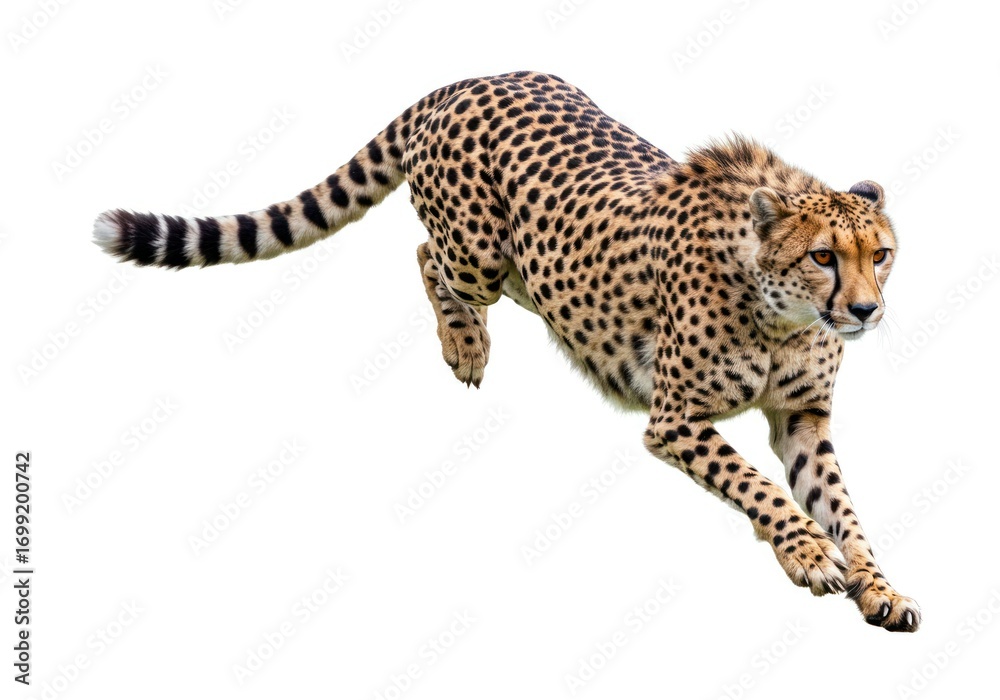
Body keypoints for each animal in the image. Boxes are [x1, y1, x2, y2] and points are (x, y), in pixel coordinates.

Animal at [93, 70, 919, 632]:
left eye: (879, 254)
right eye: (822, 257)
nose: (866, 310)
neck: (784, 314)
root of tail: (469, 78)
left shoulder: (803, 420)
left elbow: (841, 505)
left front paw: (878, 586)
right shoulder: (675, 420)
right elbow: (758, 487)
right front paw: (808, 553)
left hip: (526, 262)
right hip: (479, 252)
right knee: (427, 255)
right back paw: (464, 344)